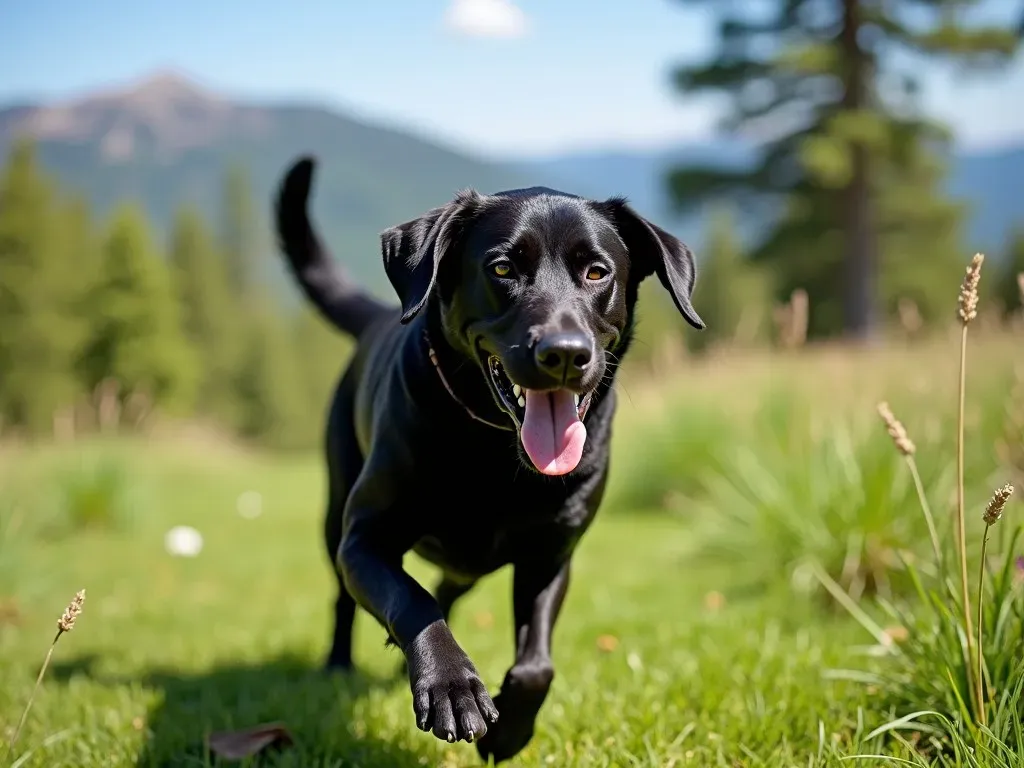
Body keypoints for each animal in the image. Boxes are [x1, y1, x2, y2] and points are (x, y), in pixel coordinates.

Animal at [272, 156, 704, 765]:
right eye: (502, 268)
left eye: (597, 272)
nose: (564, 354)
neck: (497, 453)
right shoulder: (366, 539)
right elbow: (411, 598)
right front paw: (453, 687)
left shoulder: (551, 555)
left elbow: (537, 663)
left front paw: (509, 731)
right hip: (336, 509)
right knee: (347, 596)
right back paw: (339, 666)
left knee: (451, 584)